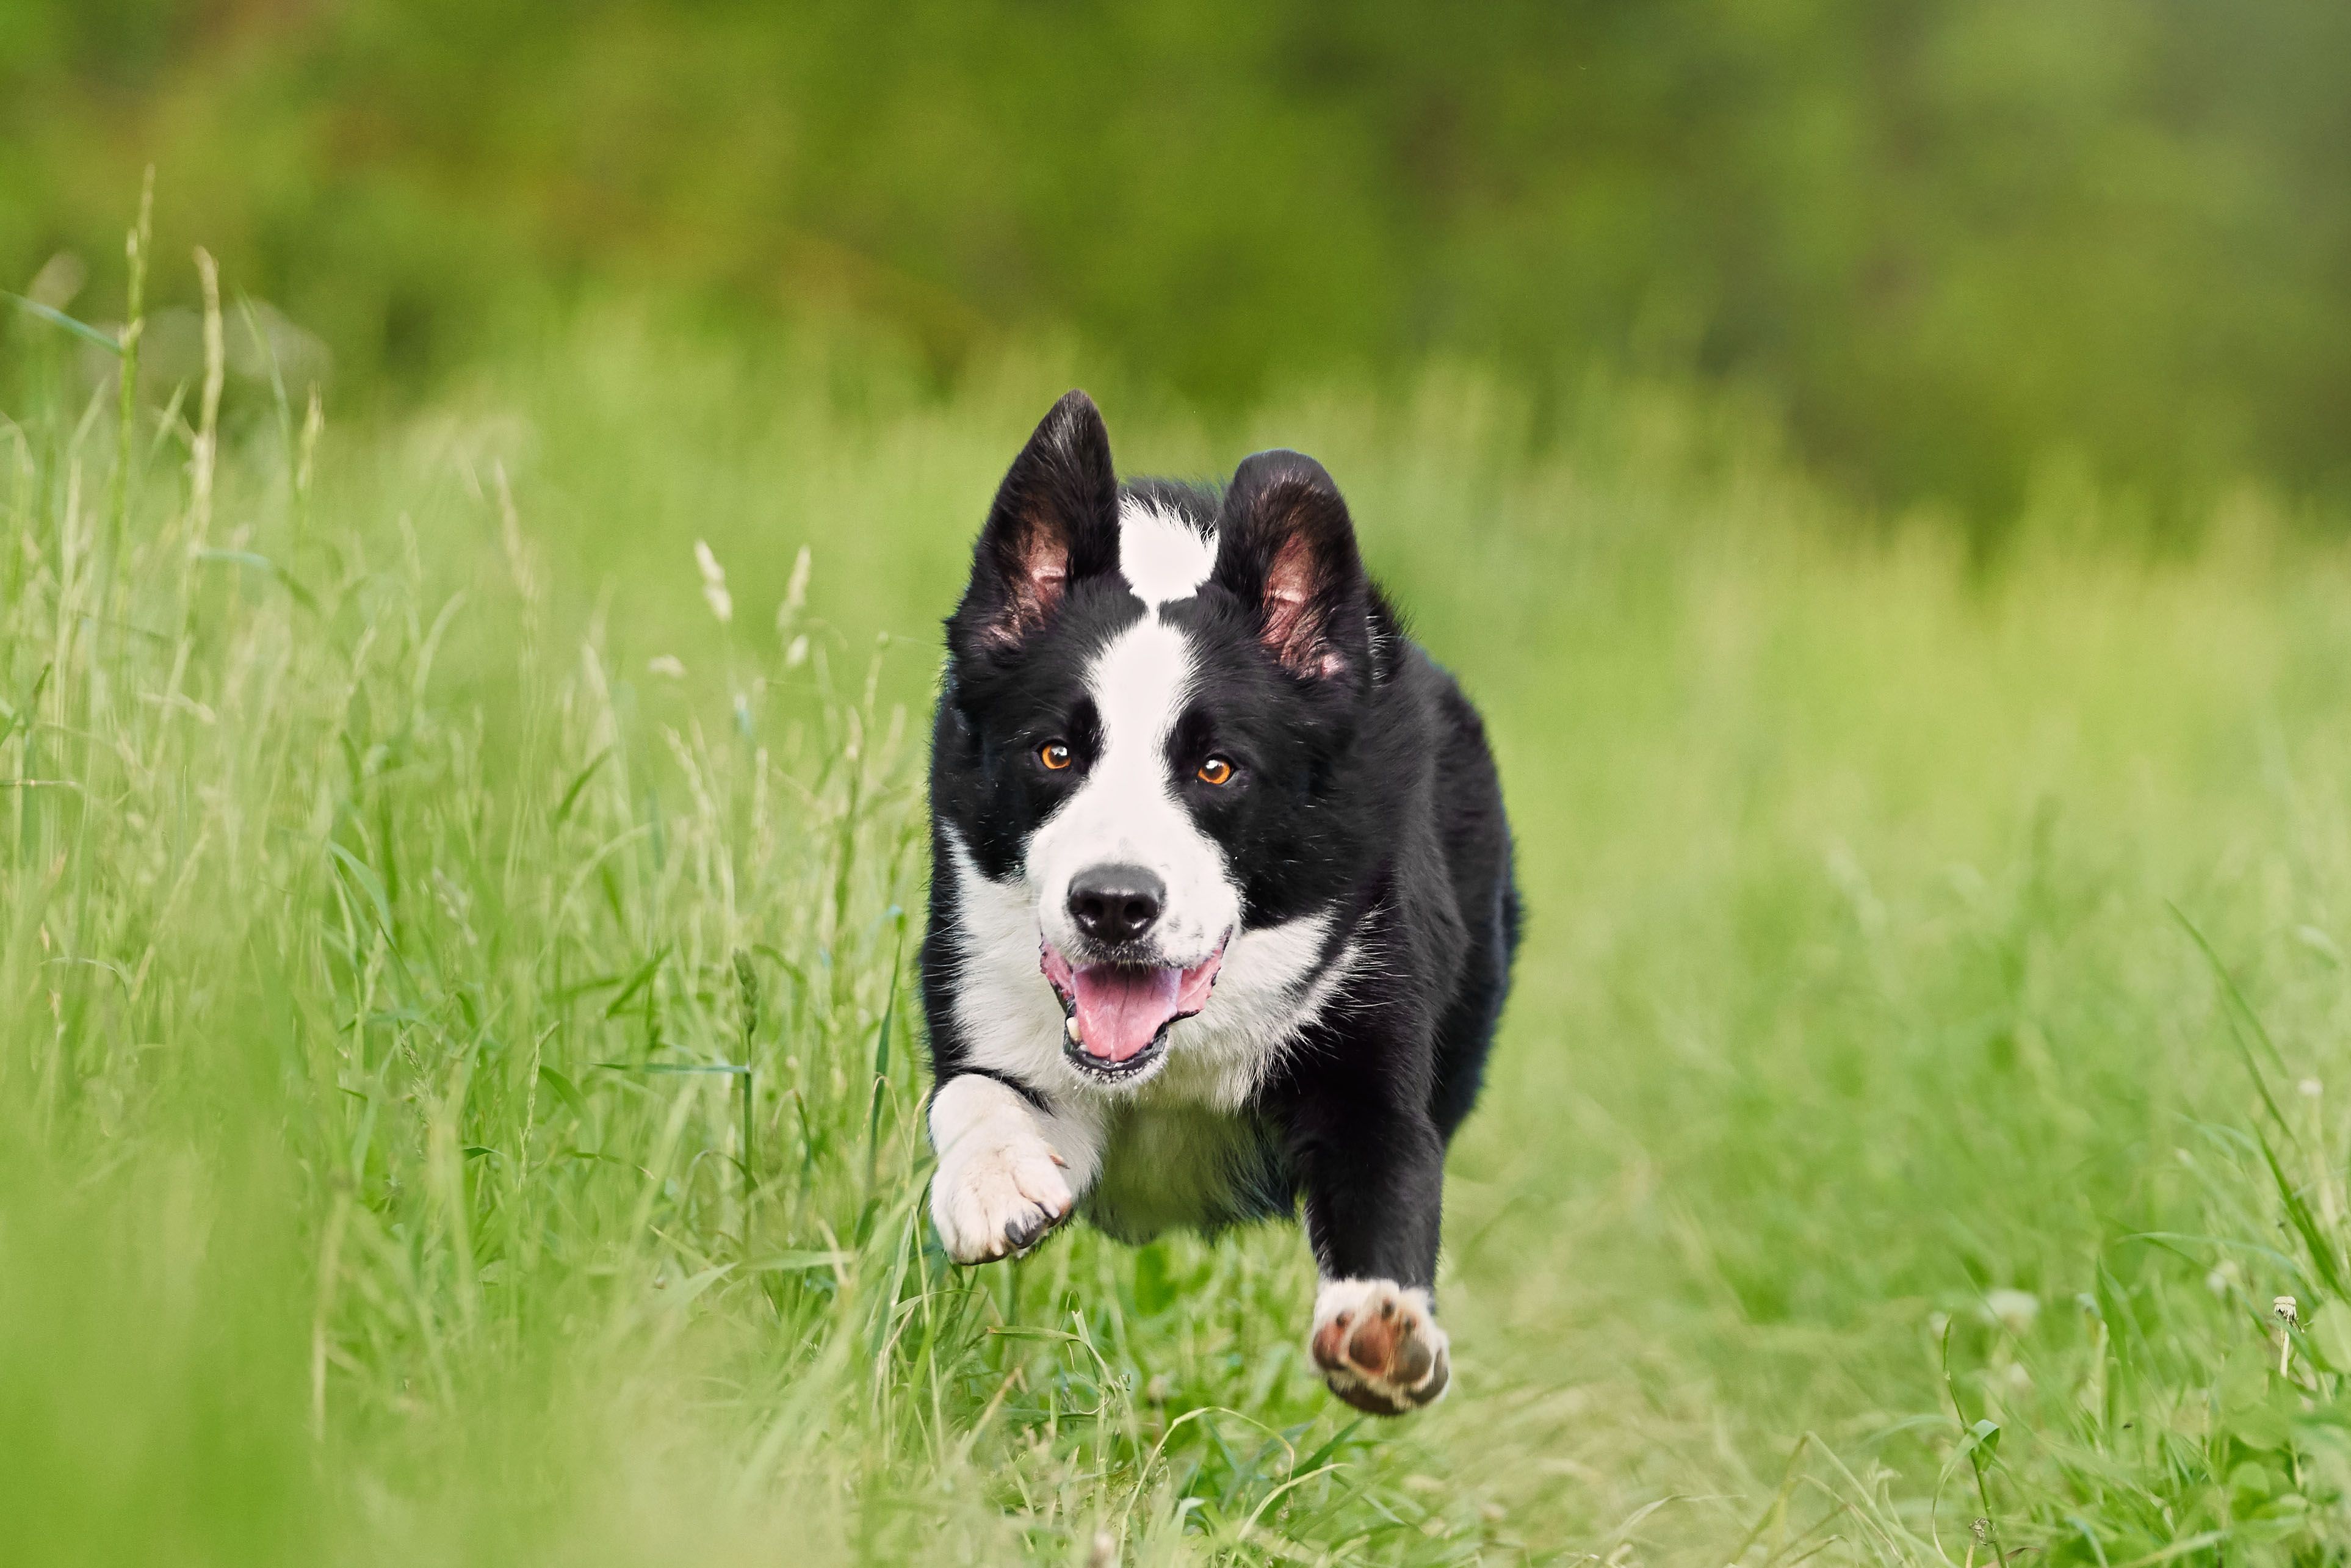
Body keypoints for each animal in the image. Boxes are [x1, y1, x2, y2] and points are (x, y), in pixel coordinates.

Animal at [921, 395, 1523, 1420]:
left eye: (1216, 768)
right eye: (1054, 753)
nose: (1113, 906)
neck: (1171, 1064)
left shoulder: (1367, 1036)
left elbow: (1391, 1169)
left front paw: (1383, 1329)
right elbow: (973, 1090)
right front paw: (992, 1184)